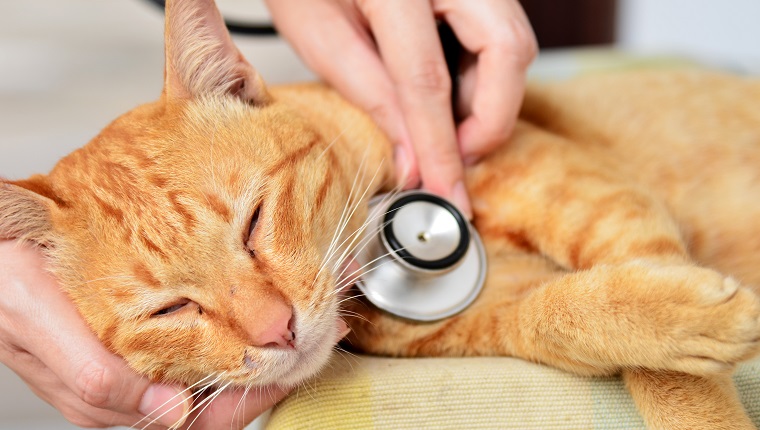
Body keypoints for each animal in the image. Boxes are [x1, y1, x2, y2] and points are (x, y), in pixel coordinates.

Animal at [1, 0, 760, 430]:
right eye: (171, 309)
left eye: (253, 221)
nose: (277, 330)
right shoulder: (491, 316)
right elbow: (565, 314)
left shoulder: (572, 183)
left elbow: (673, 373)